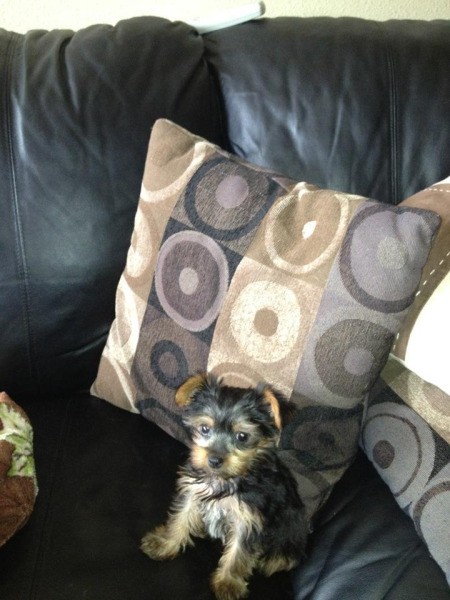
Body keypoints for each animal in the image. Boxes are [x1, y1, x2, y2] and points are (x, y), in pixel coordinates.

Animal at [142, 372, 308, 596]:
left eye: (242, 436)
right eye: (205, 428)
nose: (214, 460)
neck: (225, 479)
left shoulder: (249, 517)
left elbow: (239, 552)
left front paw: (229, 583)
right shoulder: (192, 491)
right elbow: (180, 517)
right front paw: (166, 543)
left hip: (292, 528)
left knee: (284, 555)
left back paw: (274, 560)